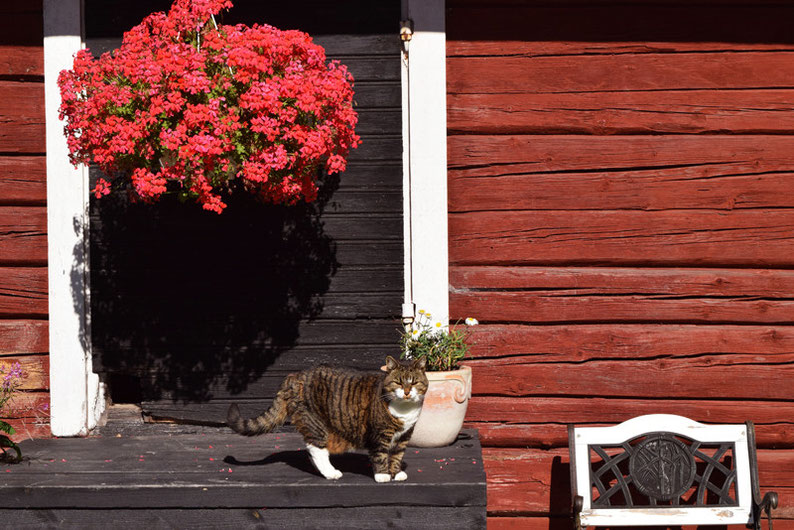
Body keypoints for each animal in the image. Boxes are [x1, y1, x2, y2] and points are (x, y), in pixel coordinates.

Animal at [226, 354, 426, 482]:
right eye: (398, 382)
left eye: (415, 382)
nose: (407, 392)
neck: (404, 409)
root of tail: (295, 376)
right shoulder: (379, 434)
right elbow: (381, 454)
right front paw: (383, 475)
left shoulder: (405, 435)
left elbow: (397, 455)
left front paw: (396, 473)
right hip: (316, 421)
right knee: (315, 448)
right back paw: (331, 473)